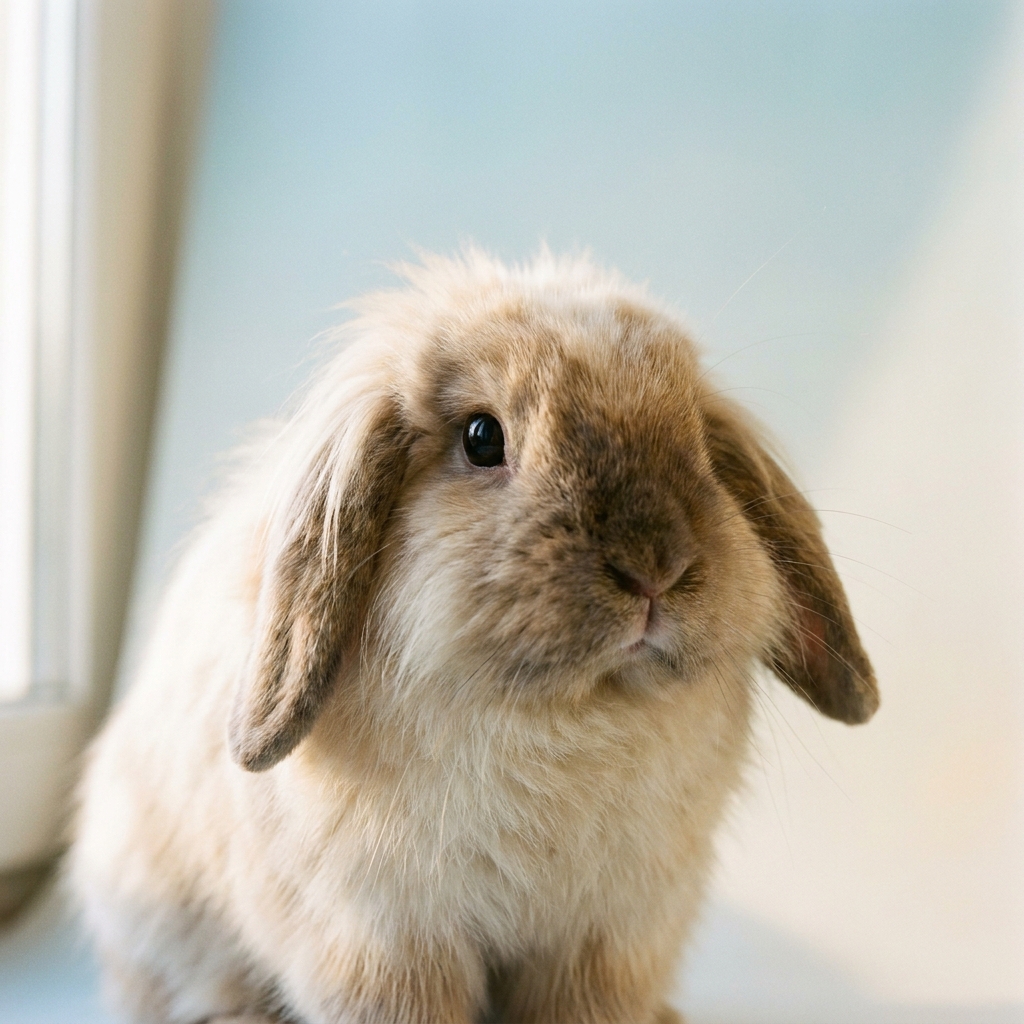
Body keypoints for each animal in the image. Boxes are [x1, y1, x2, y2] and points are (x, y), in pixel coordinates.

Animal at [69, 250, 878, 1024]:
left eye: (702, 449)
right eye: (482, 438)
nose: (655, 567)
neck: (568, 716)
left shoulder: (607, 940)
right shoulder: (384, 940)